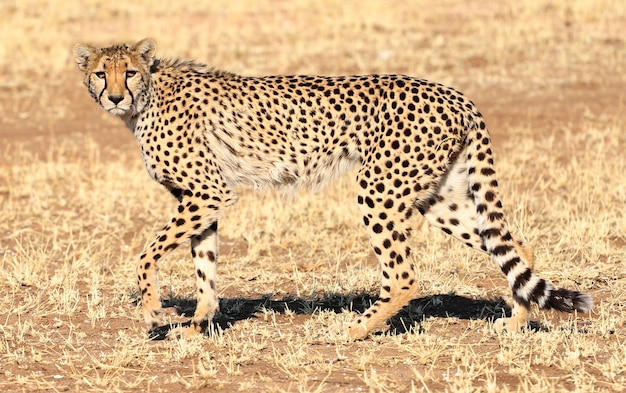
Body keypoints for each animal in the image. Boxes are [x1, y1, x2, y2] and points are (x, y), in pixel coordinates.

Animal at [73, 40, 588, 340]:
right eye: (101, 72)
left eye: (129, 72)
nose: (114, 96)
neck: (149, 97)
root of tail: (455, 94)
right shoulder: (201, 199)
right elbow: (205, 266)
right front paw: (198, 325)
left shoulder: (208, 192)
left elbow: (146, 254)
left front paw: (153, 311)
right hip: (435, 194)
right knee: (514, 246)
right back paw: (518, 320)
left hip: (379, 188)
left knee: (404, 276)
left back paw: (354, 329)